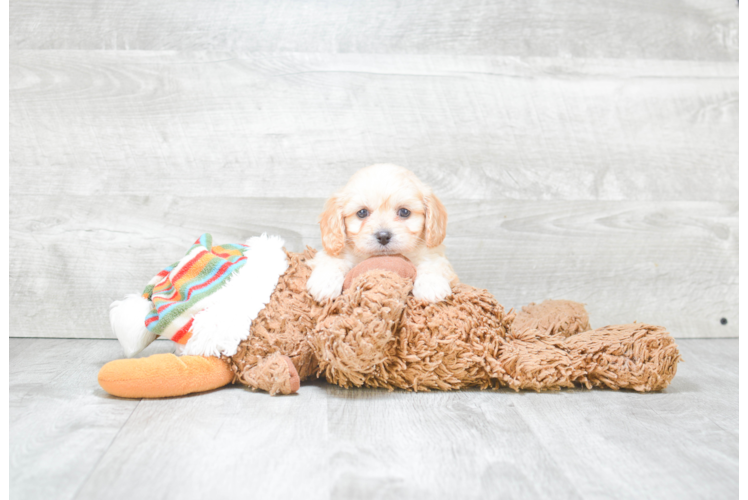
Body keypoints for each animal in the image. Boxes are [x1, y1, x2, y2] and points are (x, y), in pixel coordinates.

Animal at [304, 166, 456, 302]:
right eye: (362, 212)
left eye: (404, 212)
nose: (383, 236)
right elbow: (332, 260)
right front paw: (324, 283)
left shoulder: (433, 253)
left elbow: (432, 264)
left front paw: (431, 286)